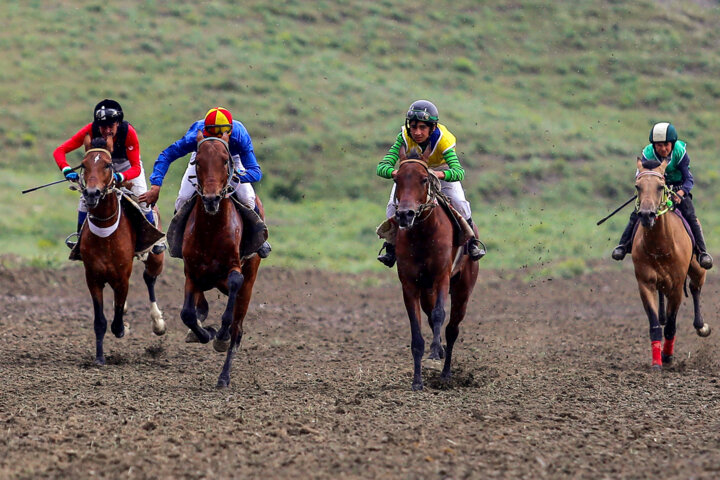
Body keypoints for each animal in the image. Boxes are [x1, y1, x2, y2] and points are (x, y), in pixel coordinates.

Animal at [78, 135, 165, 364]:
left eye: (107, 165)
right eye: (83, 165)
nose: (92, 193)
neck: (106, 235)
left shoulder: (122, 277)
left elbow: (117, 321)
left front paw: (123, 327)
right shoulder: (93, 278)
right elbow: (100, 321)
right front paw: (99, 358)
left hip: (156, 256)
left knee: (149, 278)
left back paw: (158, 322)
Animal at [179, 129, 262, 388]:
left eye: (225, 161)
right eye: (198, 162)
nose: (211, 199)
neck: (211, 230)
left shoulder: (235, 269)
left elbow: (234, 291)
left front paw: (220, 336)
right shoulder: (191, 271)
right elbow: (187, 313)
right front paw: (204, 332)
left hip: (250, 281)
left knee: (238, 328)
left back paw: (224, 376)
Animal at [390, 150, 480, 390]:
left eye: (424, 179)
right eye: (397, 179)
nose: (405, 214)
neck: (422, 233)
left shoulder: (442, 278)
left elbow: (440, 315)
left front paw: (433, 358)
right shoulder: (410, 285)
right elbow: (416, 332)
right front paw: (417, 381)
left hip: (463, 289)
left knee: (452, 328)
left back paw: (446, 372)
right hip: (426, 290)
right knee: (431, 317)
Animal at [632, 156, 708, 370]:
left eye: (660, 186)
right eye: (638, 186)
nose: (646, 215)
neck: (660, 245)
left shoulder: (676, 286)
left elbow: (672, 326)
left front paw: (667, 356)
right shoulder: (645, 283)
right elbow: (655, 325)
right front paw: (657, 361)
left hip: (698, 269)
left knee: (695, 288)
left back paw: (701, 326)